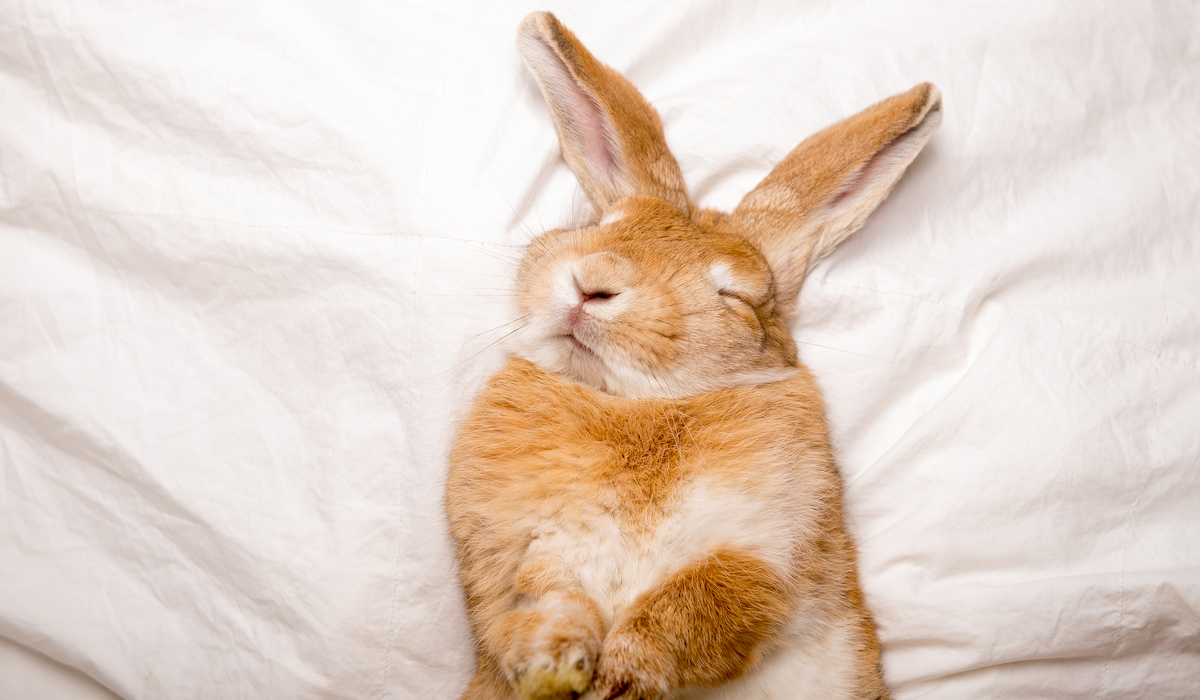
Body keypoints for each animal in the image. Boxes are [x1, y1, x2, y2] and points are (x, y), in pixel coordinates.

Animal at [446, 11, 941, 700]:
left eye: (734, 295)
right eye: (604, 225)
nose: (594, 282)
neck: (634, 403)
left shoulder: (767, 553)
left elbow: (693, 607)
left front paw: (618, 681)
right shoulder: (529, 546)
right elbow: (545, 598)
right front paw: (551, 667)